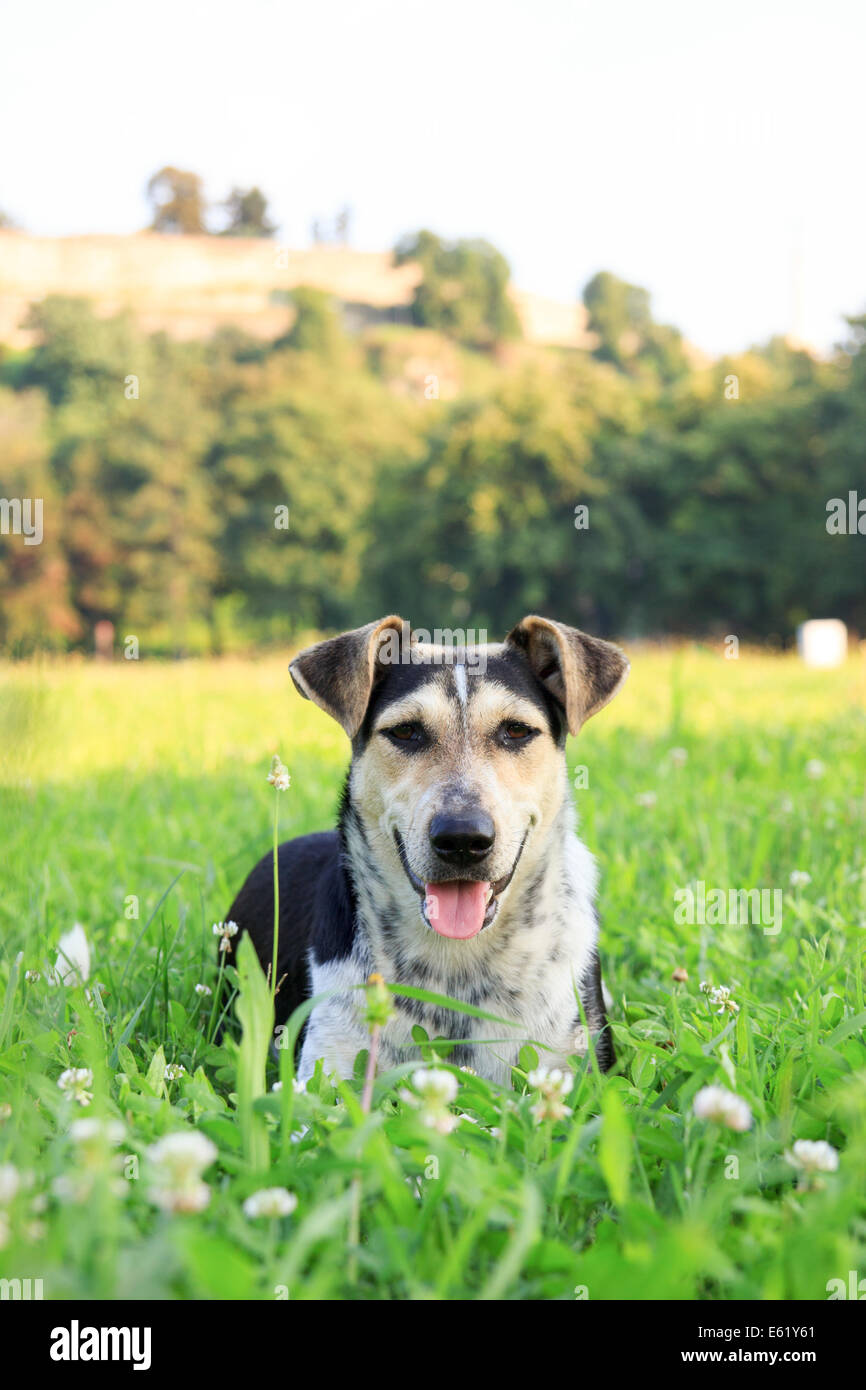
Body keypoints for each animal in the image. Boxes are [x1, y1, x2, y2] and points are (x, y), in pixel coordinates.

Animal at [225, 617, 631, 1084]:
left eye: (516, 730)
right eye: (405, 731)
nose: (463, 839)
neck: (458, 960)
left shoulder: (571, 1063)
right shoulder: (323, 1073)